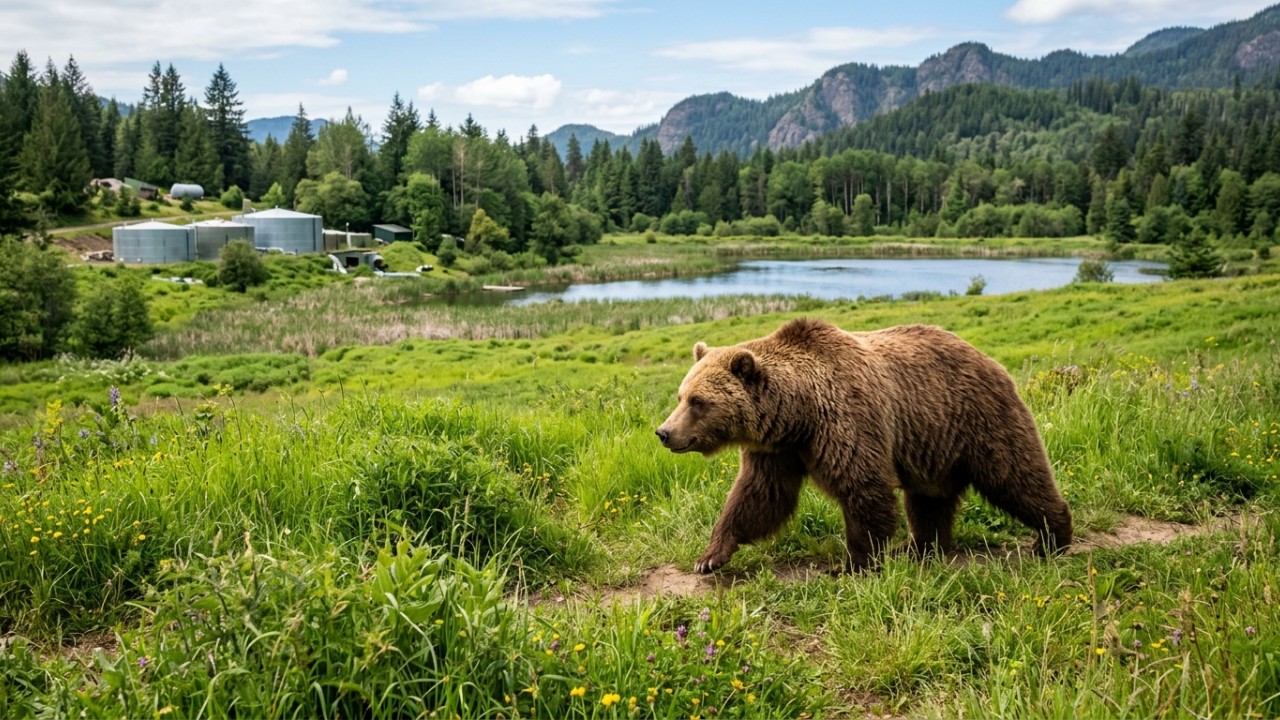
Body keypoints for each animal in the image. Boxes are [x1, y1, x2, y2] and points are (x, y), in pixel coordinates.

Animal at [655, 318, 1072, 573]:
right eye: (681, 395)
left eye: (698, 401)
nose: (664, 432)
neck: (799, 413)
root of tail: (990, 360)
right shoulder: (777, 450)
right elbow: (759, 496)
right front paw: (711, 556)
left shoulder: (847, 419)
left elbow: (863, 488)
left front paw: (853, 564)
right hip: (934, 444)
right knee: (929, 500)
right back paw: (922, 548)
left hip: (980, 420)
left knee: (1016, 476)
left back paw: (1053, 538)